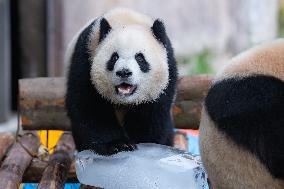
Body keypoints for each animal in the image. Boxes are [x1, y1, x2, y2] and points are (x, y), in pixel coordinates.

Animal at [65, 7, 178, 155]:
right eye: (114, 57)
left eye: (140, 58)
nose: (124, 72)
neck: (126, 20)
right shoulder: (86, 57)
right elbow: (89, 107)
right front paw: (119, 144)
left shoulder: (168, 68)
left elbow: (152, 114)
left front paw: (140, 142)